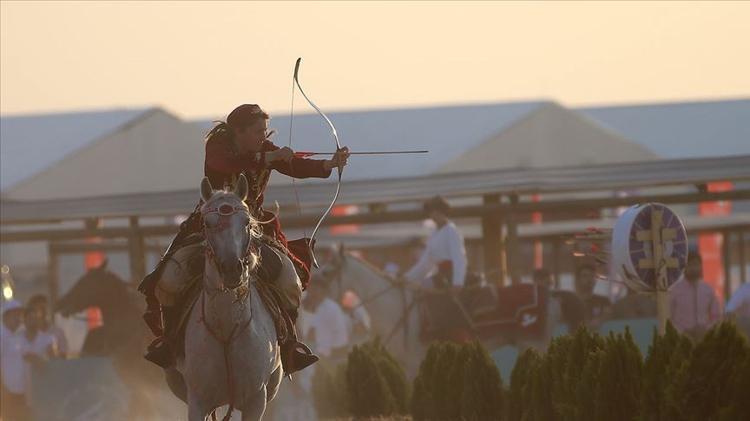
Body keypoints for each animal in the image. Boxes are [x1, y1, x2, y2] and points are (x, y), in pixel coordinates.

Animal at [166, 176, 286, 418]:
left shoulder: (256, 401)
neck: (226, 329)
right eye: (207, 224)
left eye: (247, 222)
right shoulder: (198, 401)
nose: (232, 270)